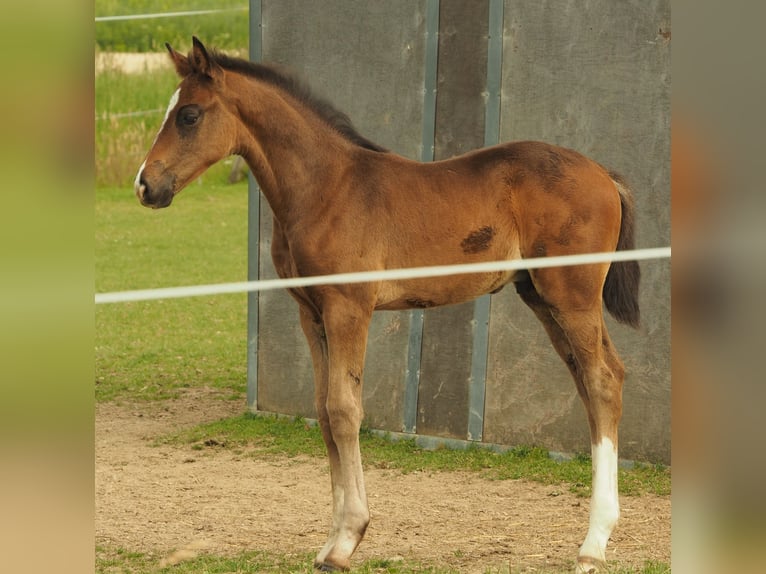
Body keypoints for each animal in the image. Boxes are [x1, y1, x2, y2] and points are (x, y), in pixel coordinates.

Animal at [134, 37, 641, 574]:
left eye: (188, 115)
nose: (145, 186)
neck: (325, 188)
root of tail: (604, 175)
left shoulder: (349, 308)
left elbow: (343, 409)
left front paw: (347, 540)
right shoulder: (311, 314)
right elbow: (322, 412)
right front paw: (330, 540)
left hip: (571, 294)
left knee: (602, 381)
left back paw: (593, 544)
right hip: (542, 297)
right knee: (597, 380)